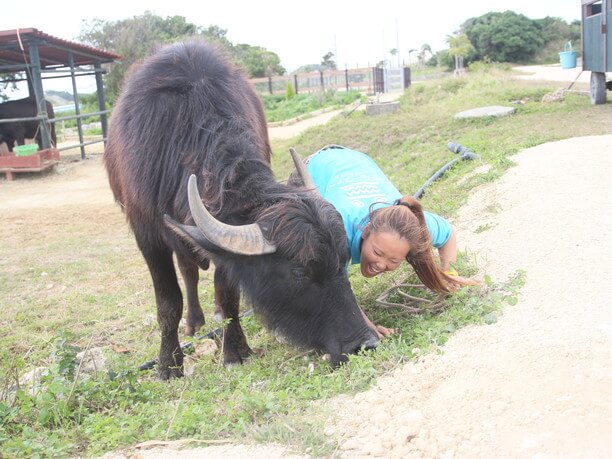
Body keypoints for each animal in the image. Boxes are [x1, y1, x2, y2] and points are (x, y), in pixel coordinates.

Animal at [104, 39, 378, 380]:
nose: (365, 343)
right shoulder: (147, 235)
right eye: (300, 273)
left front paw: (235, 350)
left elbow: (228, 293)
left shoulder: (227, 245)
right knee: (188, 271)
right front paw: (168, 365)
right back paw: (194, 322)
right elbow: (168, 303)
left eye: (342, 262)